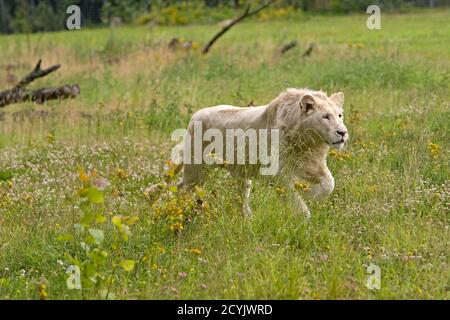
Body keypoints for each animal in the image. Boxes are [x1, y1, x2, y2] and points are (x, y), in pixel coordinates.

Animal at [176, 87, 348, 218]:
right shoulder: (277, 173)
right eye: (325, 116)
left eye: (340, 115)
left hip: (241, 175)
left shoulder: (313, 165)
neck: (308, 144)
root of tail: (194, 115)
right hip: (196, 170)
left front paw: (310, 194)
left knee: (242, 198)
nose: (343, 133)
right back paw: (181, 208)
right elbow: (294, 197)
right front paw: (304, 214)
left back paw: (247, 218)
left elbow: (329, 183)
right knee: (182, 187)